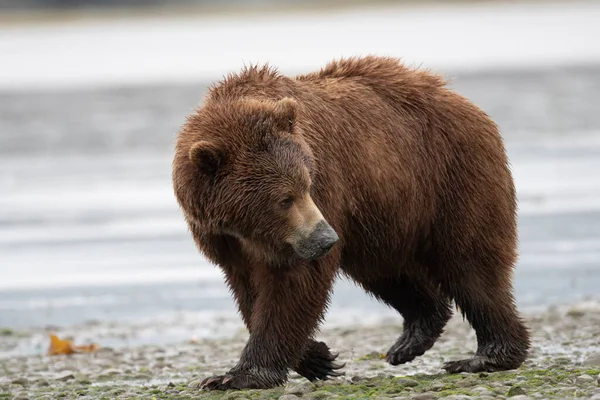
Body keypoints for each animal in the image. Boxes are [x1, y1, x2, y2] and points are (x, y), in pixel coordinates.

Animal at [172, 56, 528, 390]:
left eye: (306, 185)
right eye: (284, 198)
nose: (325, 239)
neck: (250, 229)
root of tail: (461, 99)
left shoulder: (323, 185)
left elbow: (294, 284)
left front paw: (238, 375)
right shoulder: (224, 238)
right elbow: (249, 290)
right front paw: (317, 357)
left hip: (452, 178)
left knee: (471, 266)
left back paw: (486, 356)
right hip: (379, 217)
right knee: (386, 271)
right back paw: (411, 338)